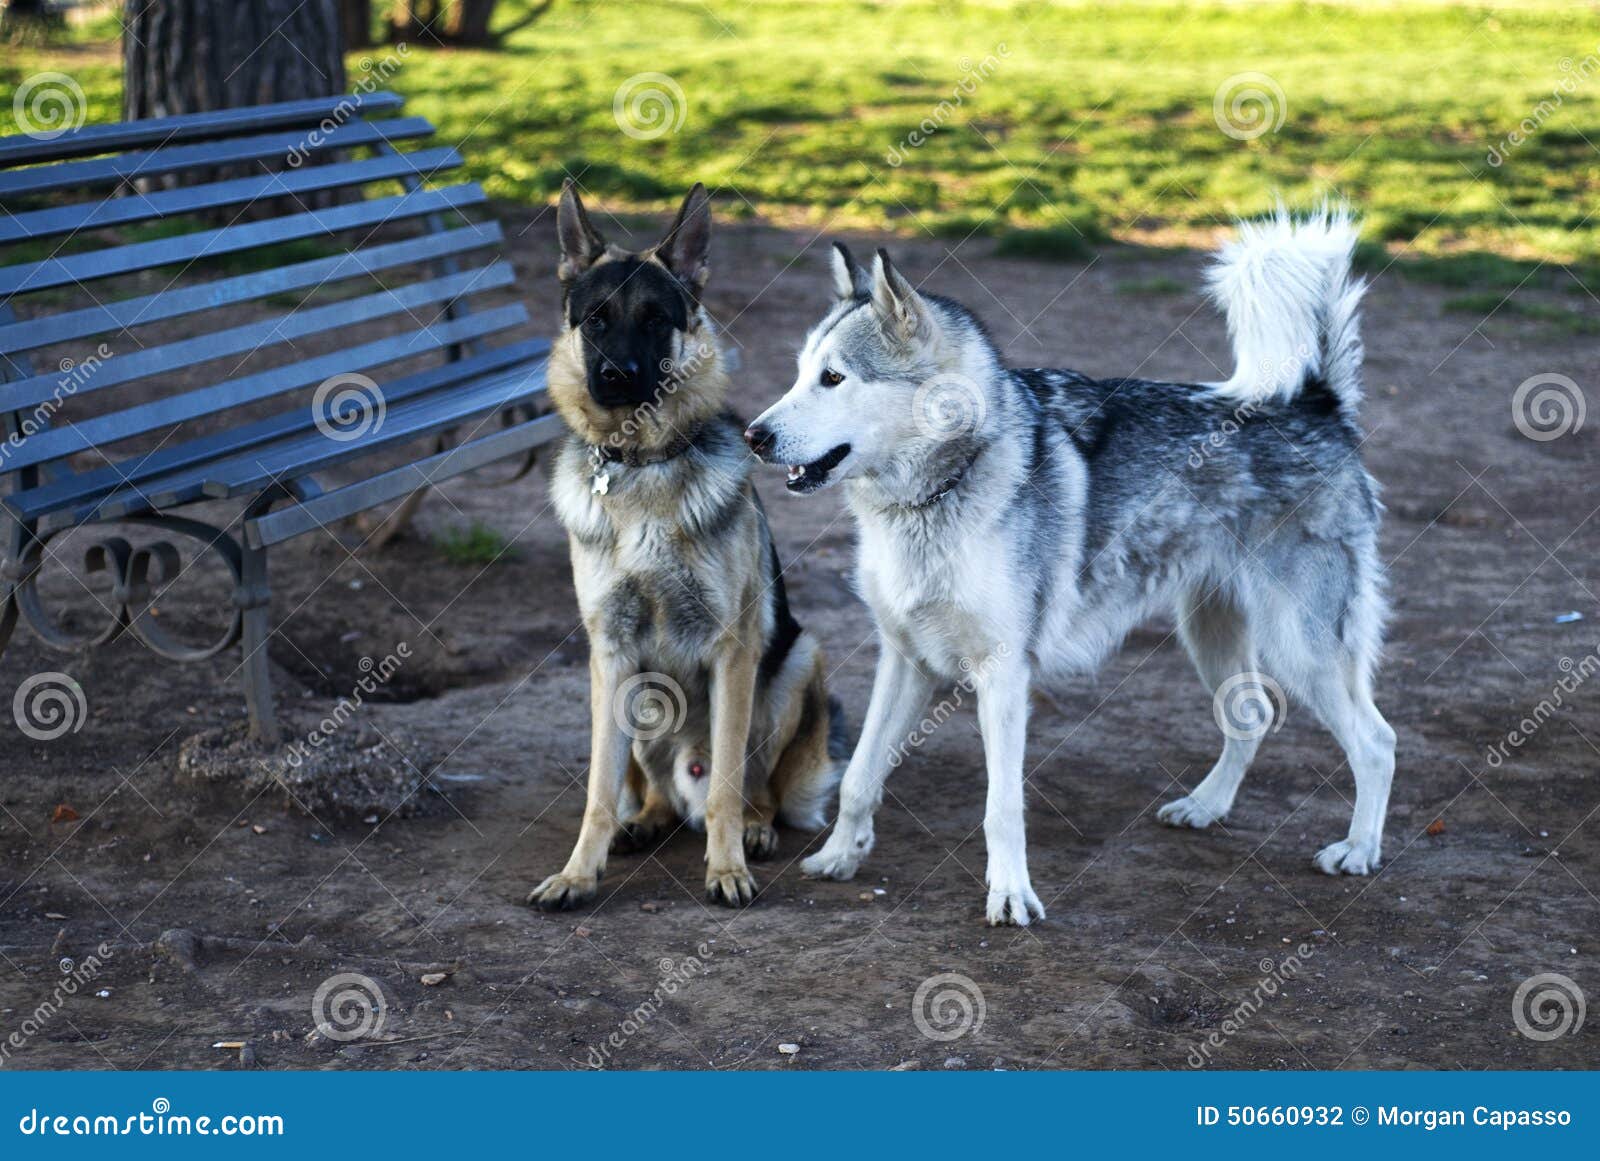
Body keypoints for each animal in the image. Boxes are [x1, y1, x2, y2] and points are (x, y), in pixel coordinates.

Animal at [528, 182, 851, 914]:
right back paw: (644, 821)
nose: (616, 375)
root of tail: (686, 775)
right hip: (638, 699)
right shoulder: (609, 651)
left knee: (752, 787)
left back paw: (754, 829)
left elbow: (731, 780)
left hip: (797, 662)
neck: (643, 465)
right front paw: (577, 872)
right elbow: (598, 789)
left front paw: (727, 868)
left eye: (654, 319)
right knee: (652, 791)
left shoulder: (733, 651)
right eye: (596, 319)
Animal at [742, 209, 1395, 927]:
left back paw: (1357, 850)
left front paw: (1010, 895)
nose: (753, 435)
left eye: (833, 378)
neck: (942, 489)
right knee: (1250, 718)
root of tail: (1317, 402)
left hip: (1299, 648)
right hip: (1212, 636)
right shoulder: (904, 659)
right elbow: (860, 776)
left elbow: (1002, 809)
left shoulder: (1003, 676)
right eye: (800, 373)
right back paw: (1206, 807)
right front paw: (840, 857)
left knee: (1377, 742)